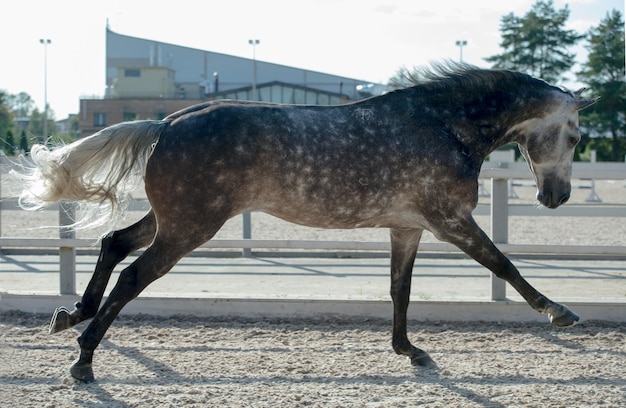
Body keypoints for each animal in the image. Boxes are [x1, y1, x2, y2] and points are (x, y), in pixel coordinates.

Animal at [13, 62, 596, 380]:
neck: (443, 126)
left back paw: (71, 315)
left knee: (114, 243)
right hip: (189, 227)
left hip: (171, 220)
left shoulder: (408, 226)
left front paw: (409, 351)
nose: (557, 197)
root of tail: (168, 121)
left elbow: (400, 289)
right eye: (575, 136)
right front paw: (560, 312)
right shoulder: (451, 221)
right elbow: (505, 266)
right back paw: (83, 357)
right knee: (134, 274)